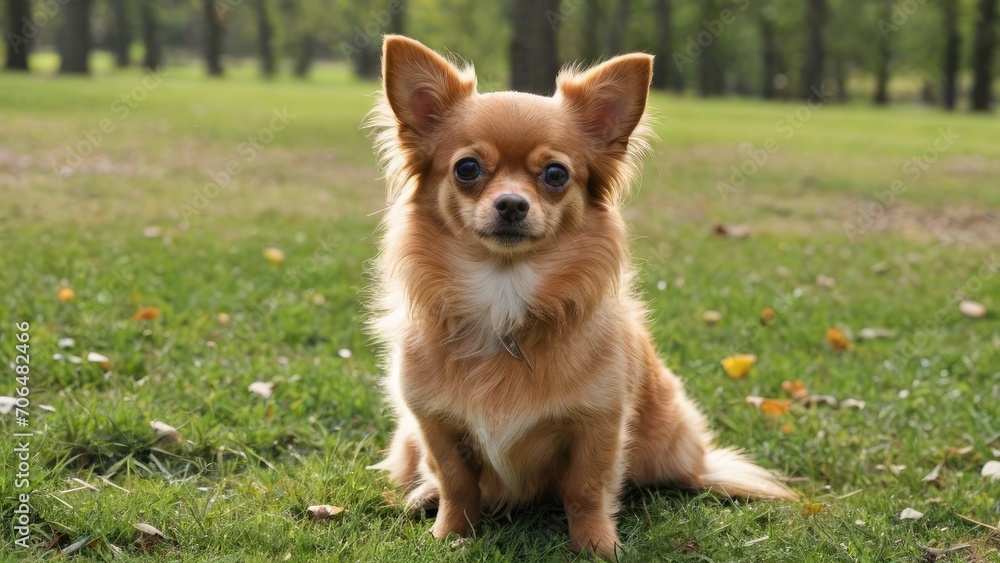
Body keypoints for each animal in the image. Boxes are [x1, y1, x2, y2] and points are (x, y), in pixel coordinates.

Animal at [364, 35, 792, 560]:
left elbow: (585, 488)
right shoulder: (432, 421)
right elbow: (455, 480)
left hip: (668, 440)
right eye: (467, 168)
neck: (505, 296)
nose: (511, 204)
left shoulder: (599, 424)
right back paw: (423, 495)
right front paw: (451, 534)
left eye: (555, 174)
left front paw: (595, 544)